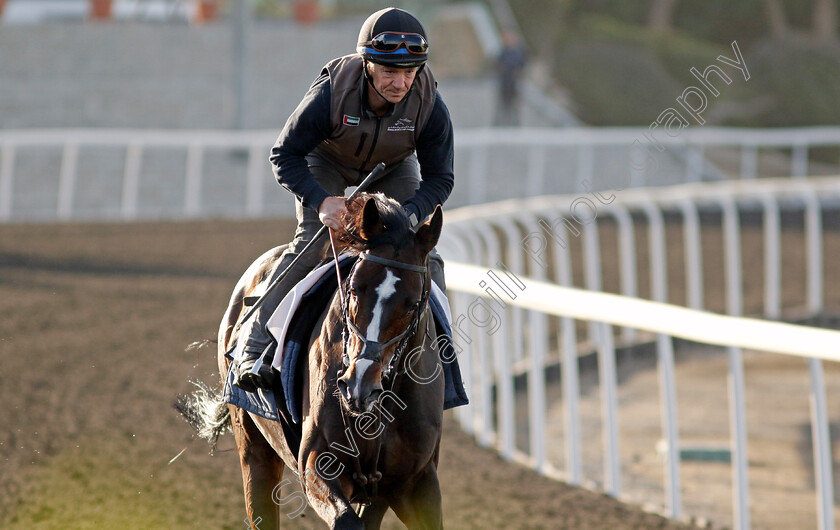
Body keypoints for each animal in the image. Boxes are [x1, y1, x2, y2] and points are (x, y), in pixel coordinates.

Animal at [215, 192, 446, 524]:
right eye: (354, 288)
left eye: (413, 303)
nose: (359, 386)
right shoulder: (317, 463)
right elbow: (344, 519)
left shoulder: (417, 482)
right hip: (252, 446)